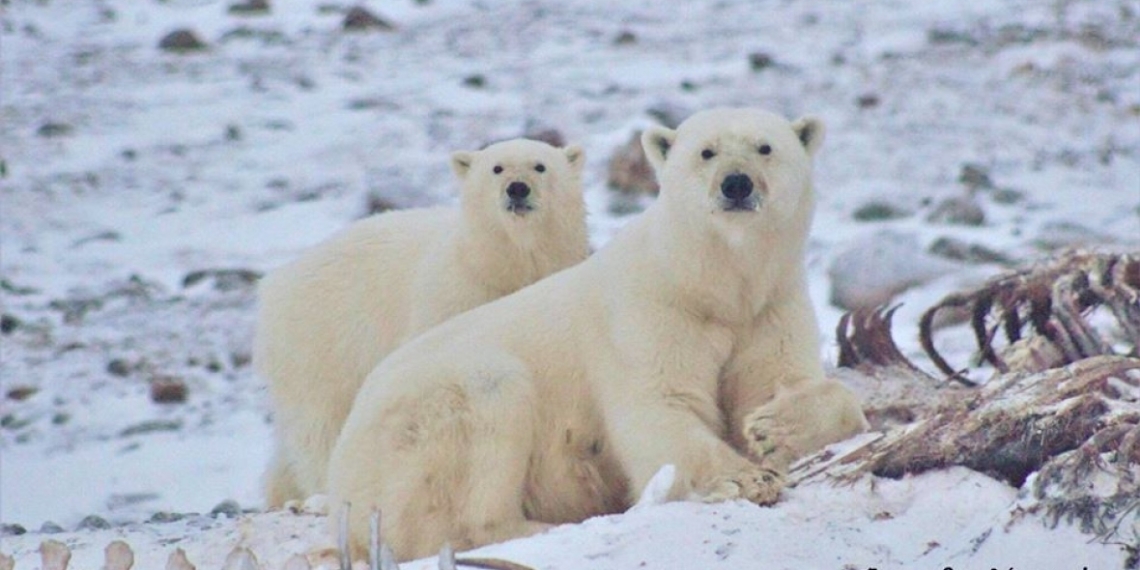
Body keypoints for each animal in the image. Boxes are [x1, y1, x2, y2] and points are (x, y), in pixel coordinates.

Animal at [254, 138, 590, 507]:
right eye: (497, 167)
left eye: (540, 166)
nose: (517, 188)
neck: (498, 266)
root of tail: (274, 284)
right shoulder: (453, 298)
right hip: (320, 344)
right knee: (320, 425)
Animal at [327, 108, 870, 561]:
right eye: (706, 152)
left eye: (765, 147)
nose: (736, 185)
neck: (707, 285)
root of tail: (340, 478)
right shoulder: (648, 312)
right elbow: (659, 406)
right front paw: (746, 478)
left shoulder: (768, 309)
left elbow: (785, 383)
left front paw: (773, 426)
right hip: (419, 425)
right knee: (487, 409)